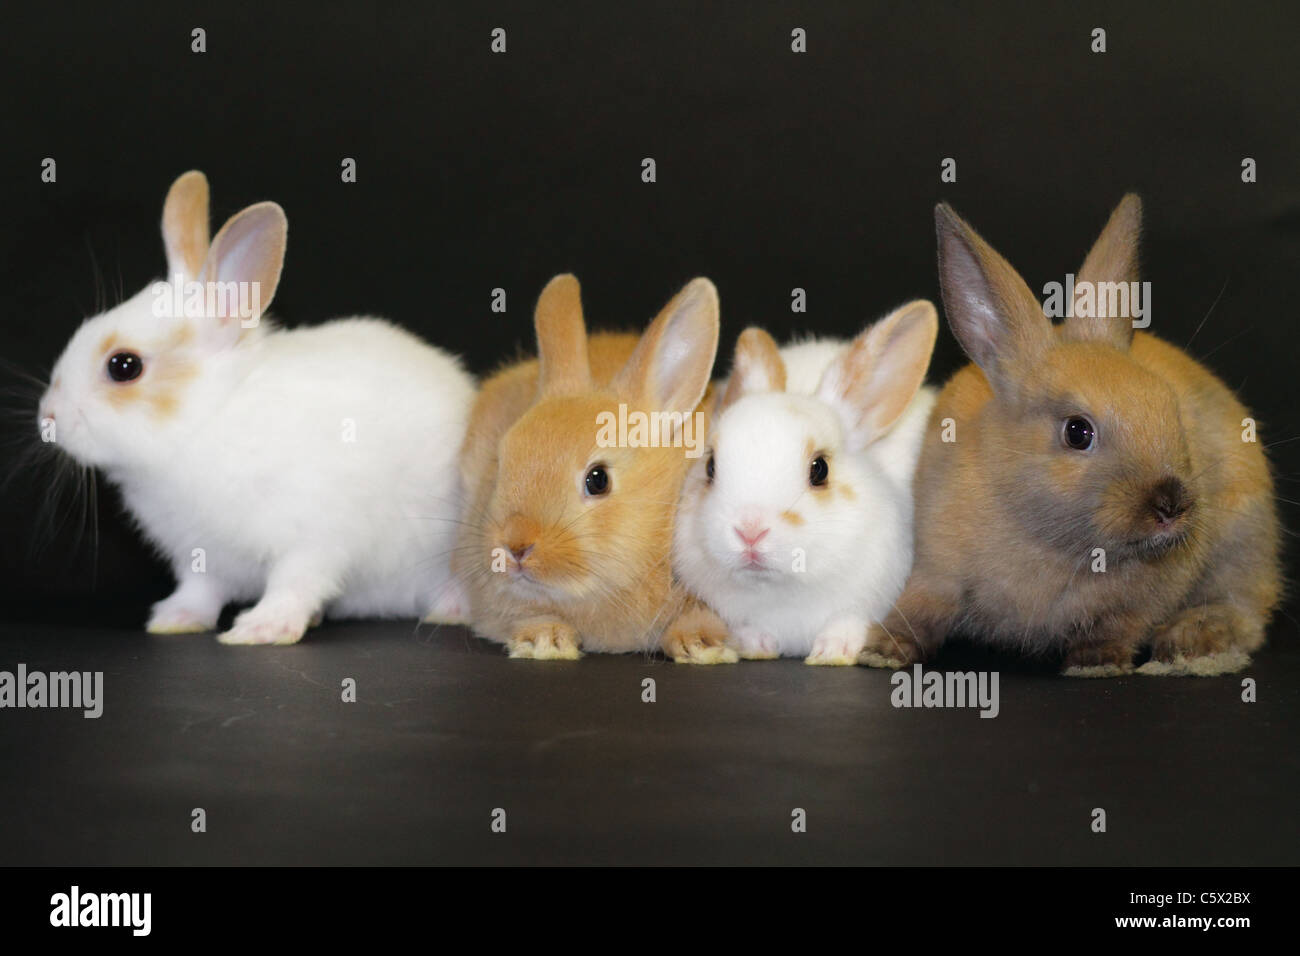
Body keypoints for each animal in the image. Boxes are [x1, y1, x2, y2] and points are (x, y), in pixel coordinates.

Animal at [36, 170, 477, 645]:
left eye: (124, 366)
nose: (48, 417)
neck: (208, 419)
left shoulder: (314, 536)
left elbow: (293, 583)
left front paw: (260, 629)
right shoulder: (201, 555)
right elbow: (200, 591)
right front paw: (173, 620)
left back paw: (449, 610)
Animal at [668, 301, 939, 665]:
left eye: (819, 469)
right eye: (710, 466)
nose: (750, 531)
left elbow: (849, 621)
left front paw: (832, 651)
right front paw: (756, 645)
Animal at [861, 195, 1282, 677]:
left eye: (1171, 410)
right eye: (1078, 432)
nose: (1172, 505)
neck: (1049, 539)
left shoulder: (1146, 598)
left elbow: (1120, 624)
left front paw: (1096, 663)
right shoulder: (935, 567)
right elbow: (919, 609)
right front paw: (881, 651)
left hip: (1245, 537)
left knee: (1244, 606)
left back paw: (1195, 644)